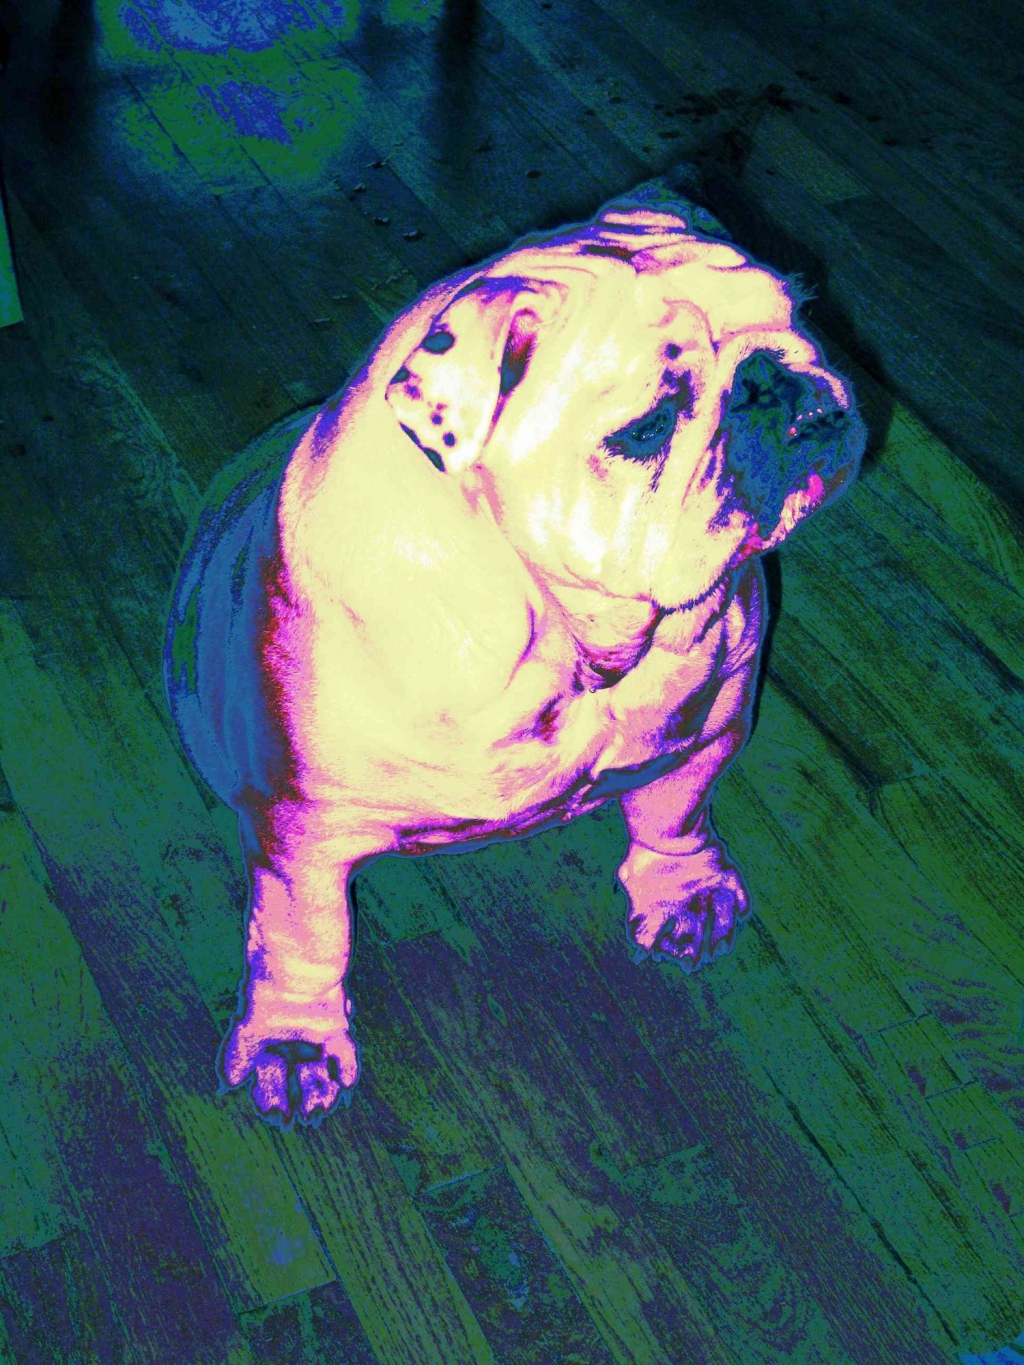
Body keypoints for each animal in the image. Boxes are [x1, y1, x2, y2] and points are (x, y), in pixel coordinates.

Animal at [164, 178, 866, 1128]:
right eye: (647, 426)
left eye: (804, 309)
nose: (784, 386)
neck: (572, 639)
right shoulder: (305, 830)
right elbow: (302, 935)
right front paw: (293, 1042)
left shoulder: (706, 730)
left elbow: (675, 814)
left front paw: (682, 891)